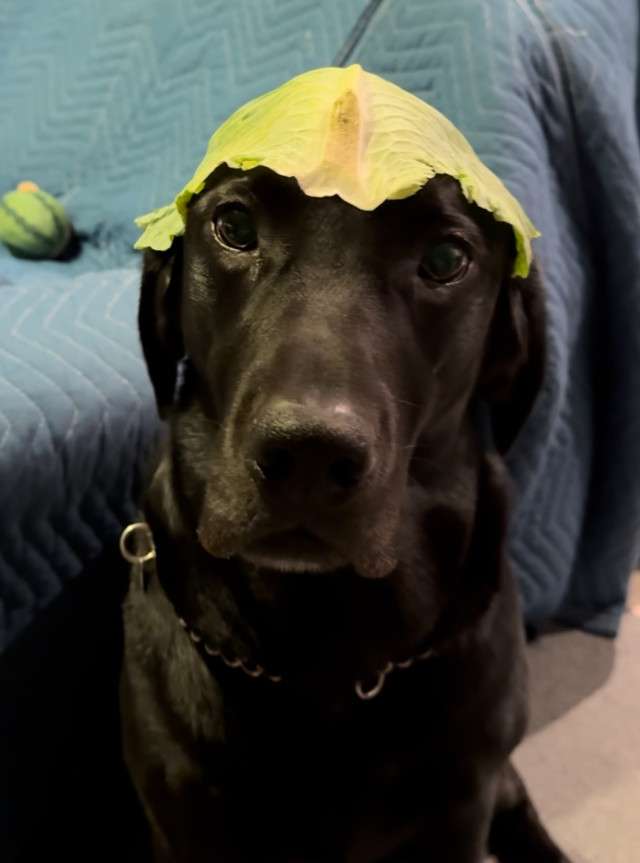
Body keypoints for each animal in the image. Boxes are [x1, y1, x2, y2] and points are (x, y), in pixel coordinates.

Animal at [120, 164, 572, 862]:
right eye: (234, 225)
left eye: (446, 259)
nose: (309, 454)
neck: (327, 659)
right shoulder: (183, 818)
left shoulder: (462, 805)